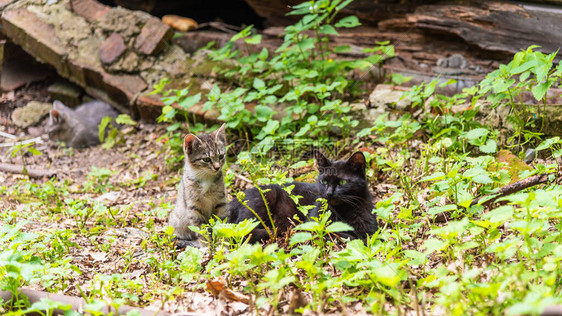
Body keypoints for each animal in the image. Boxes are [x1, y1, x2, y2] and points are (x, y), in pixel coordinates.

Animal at [226, 151, 376, 242]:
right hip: (263, 201)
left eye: (342, 182)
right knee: (239, 231)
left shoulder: (370, 230)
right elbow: (343, 234)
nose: (328, 193)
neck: (345, 210)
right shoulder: (313, 225)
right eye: (324, 181)